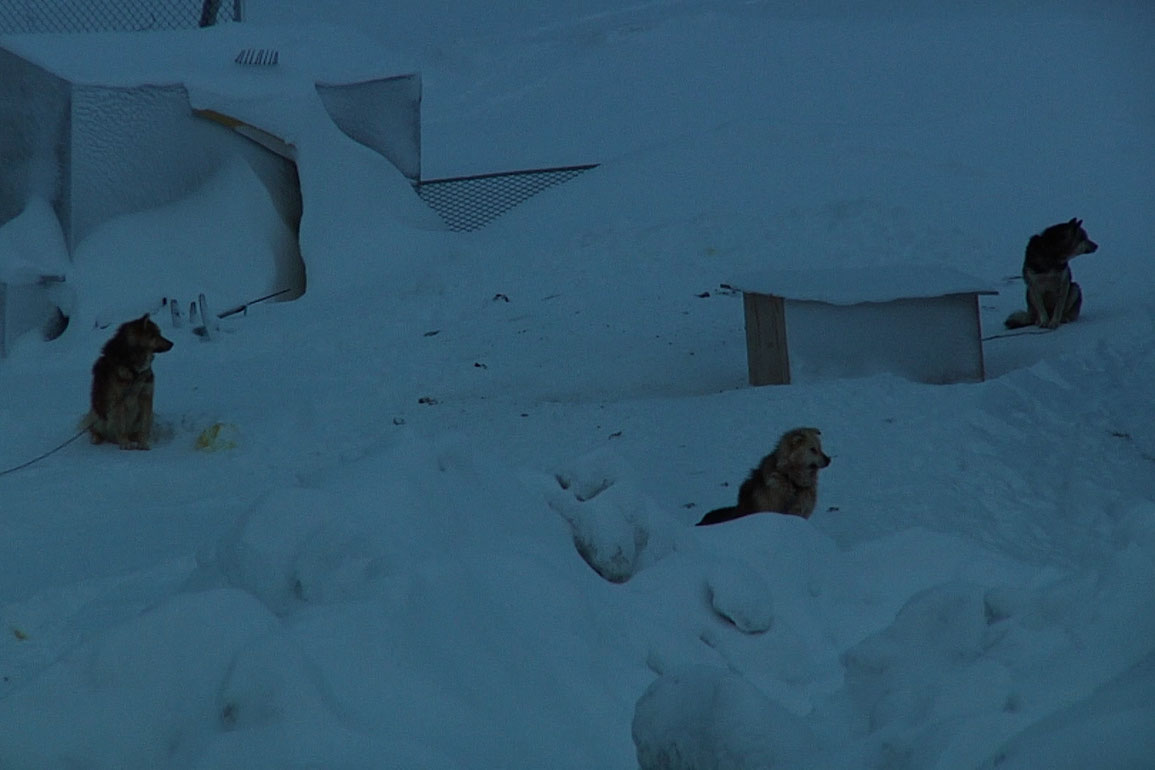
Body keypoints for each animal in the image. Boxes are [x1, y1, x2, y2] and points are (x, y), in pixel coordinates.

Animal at [86, 314, 173, 447]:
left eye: (159, 333)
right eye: (156, 335)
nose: (172, 343)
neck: (133, 369)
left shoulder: (146, 396)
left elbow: (144, 424)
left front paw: (143, 443)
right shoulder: (119, 400)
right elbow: (121, 426)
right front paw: (125, 443)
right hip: (97, 413)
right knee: (96, 431)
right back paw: (97, 439)